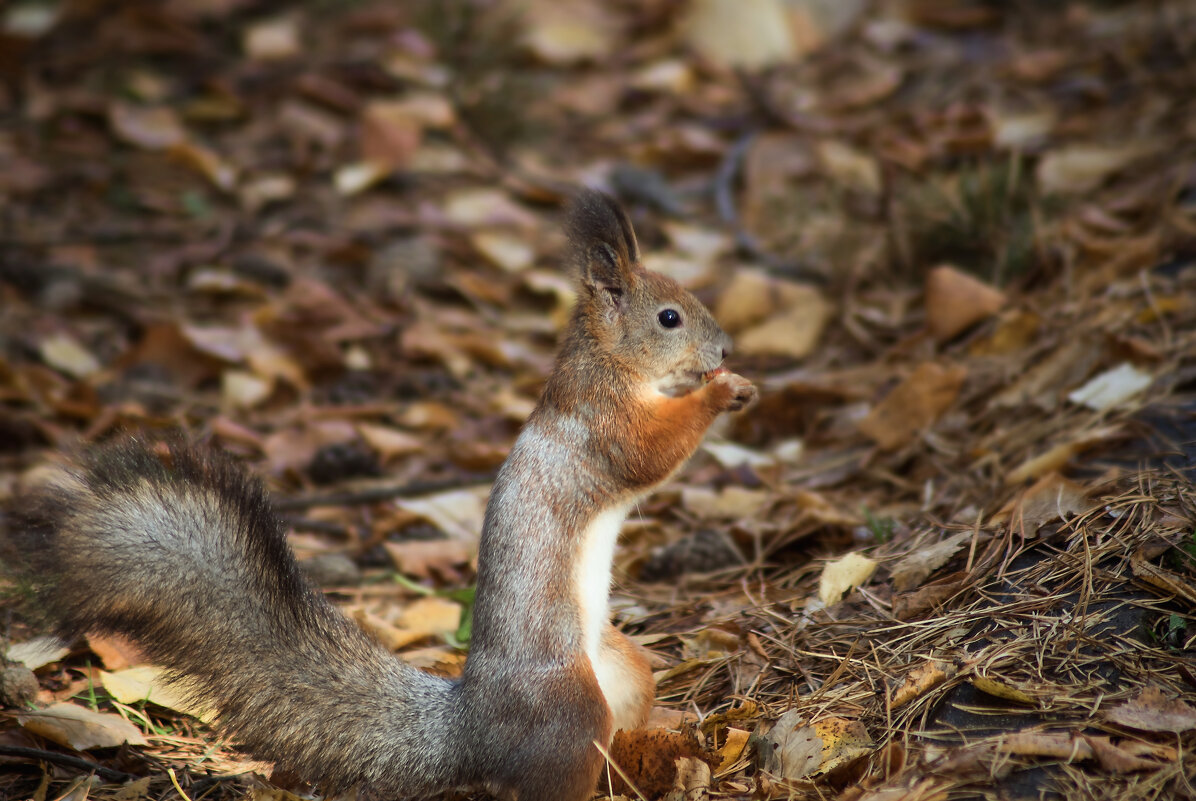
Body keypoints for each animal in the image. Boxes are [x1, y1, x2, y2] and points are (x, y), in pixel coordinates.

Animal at [7, 190, 755, 801]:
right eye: (668, 317)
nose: (724, 349)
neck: (606, 361)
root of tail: (473, 728)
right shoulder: (602, 424)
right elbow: (649, 453)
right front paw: (723, 391)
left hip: (622, 669)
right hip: (568, 711)